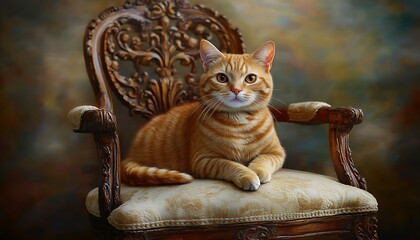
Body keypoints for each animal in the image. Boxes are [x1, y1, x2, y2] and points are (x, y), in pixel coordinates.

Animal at [120, 39, 286, 191]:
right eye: (222, 78)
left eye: (250, 78)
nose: (236, 90)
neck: (239, 121)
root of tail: (130, 154)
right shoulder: (204, 161)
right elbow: (229, 164)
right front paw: (247, 174)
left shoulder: (277, 152)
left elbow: (264, 159)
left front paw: (258, 170)